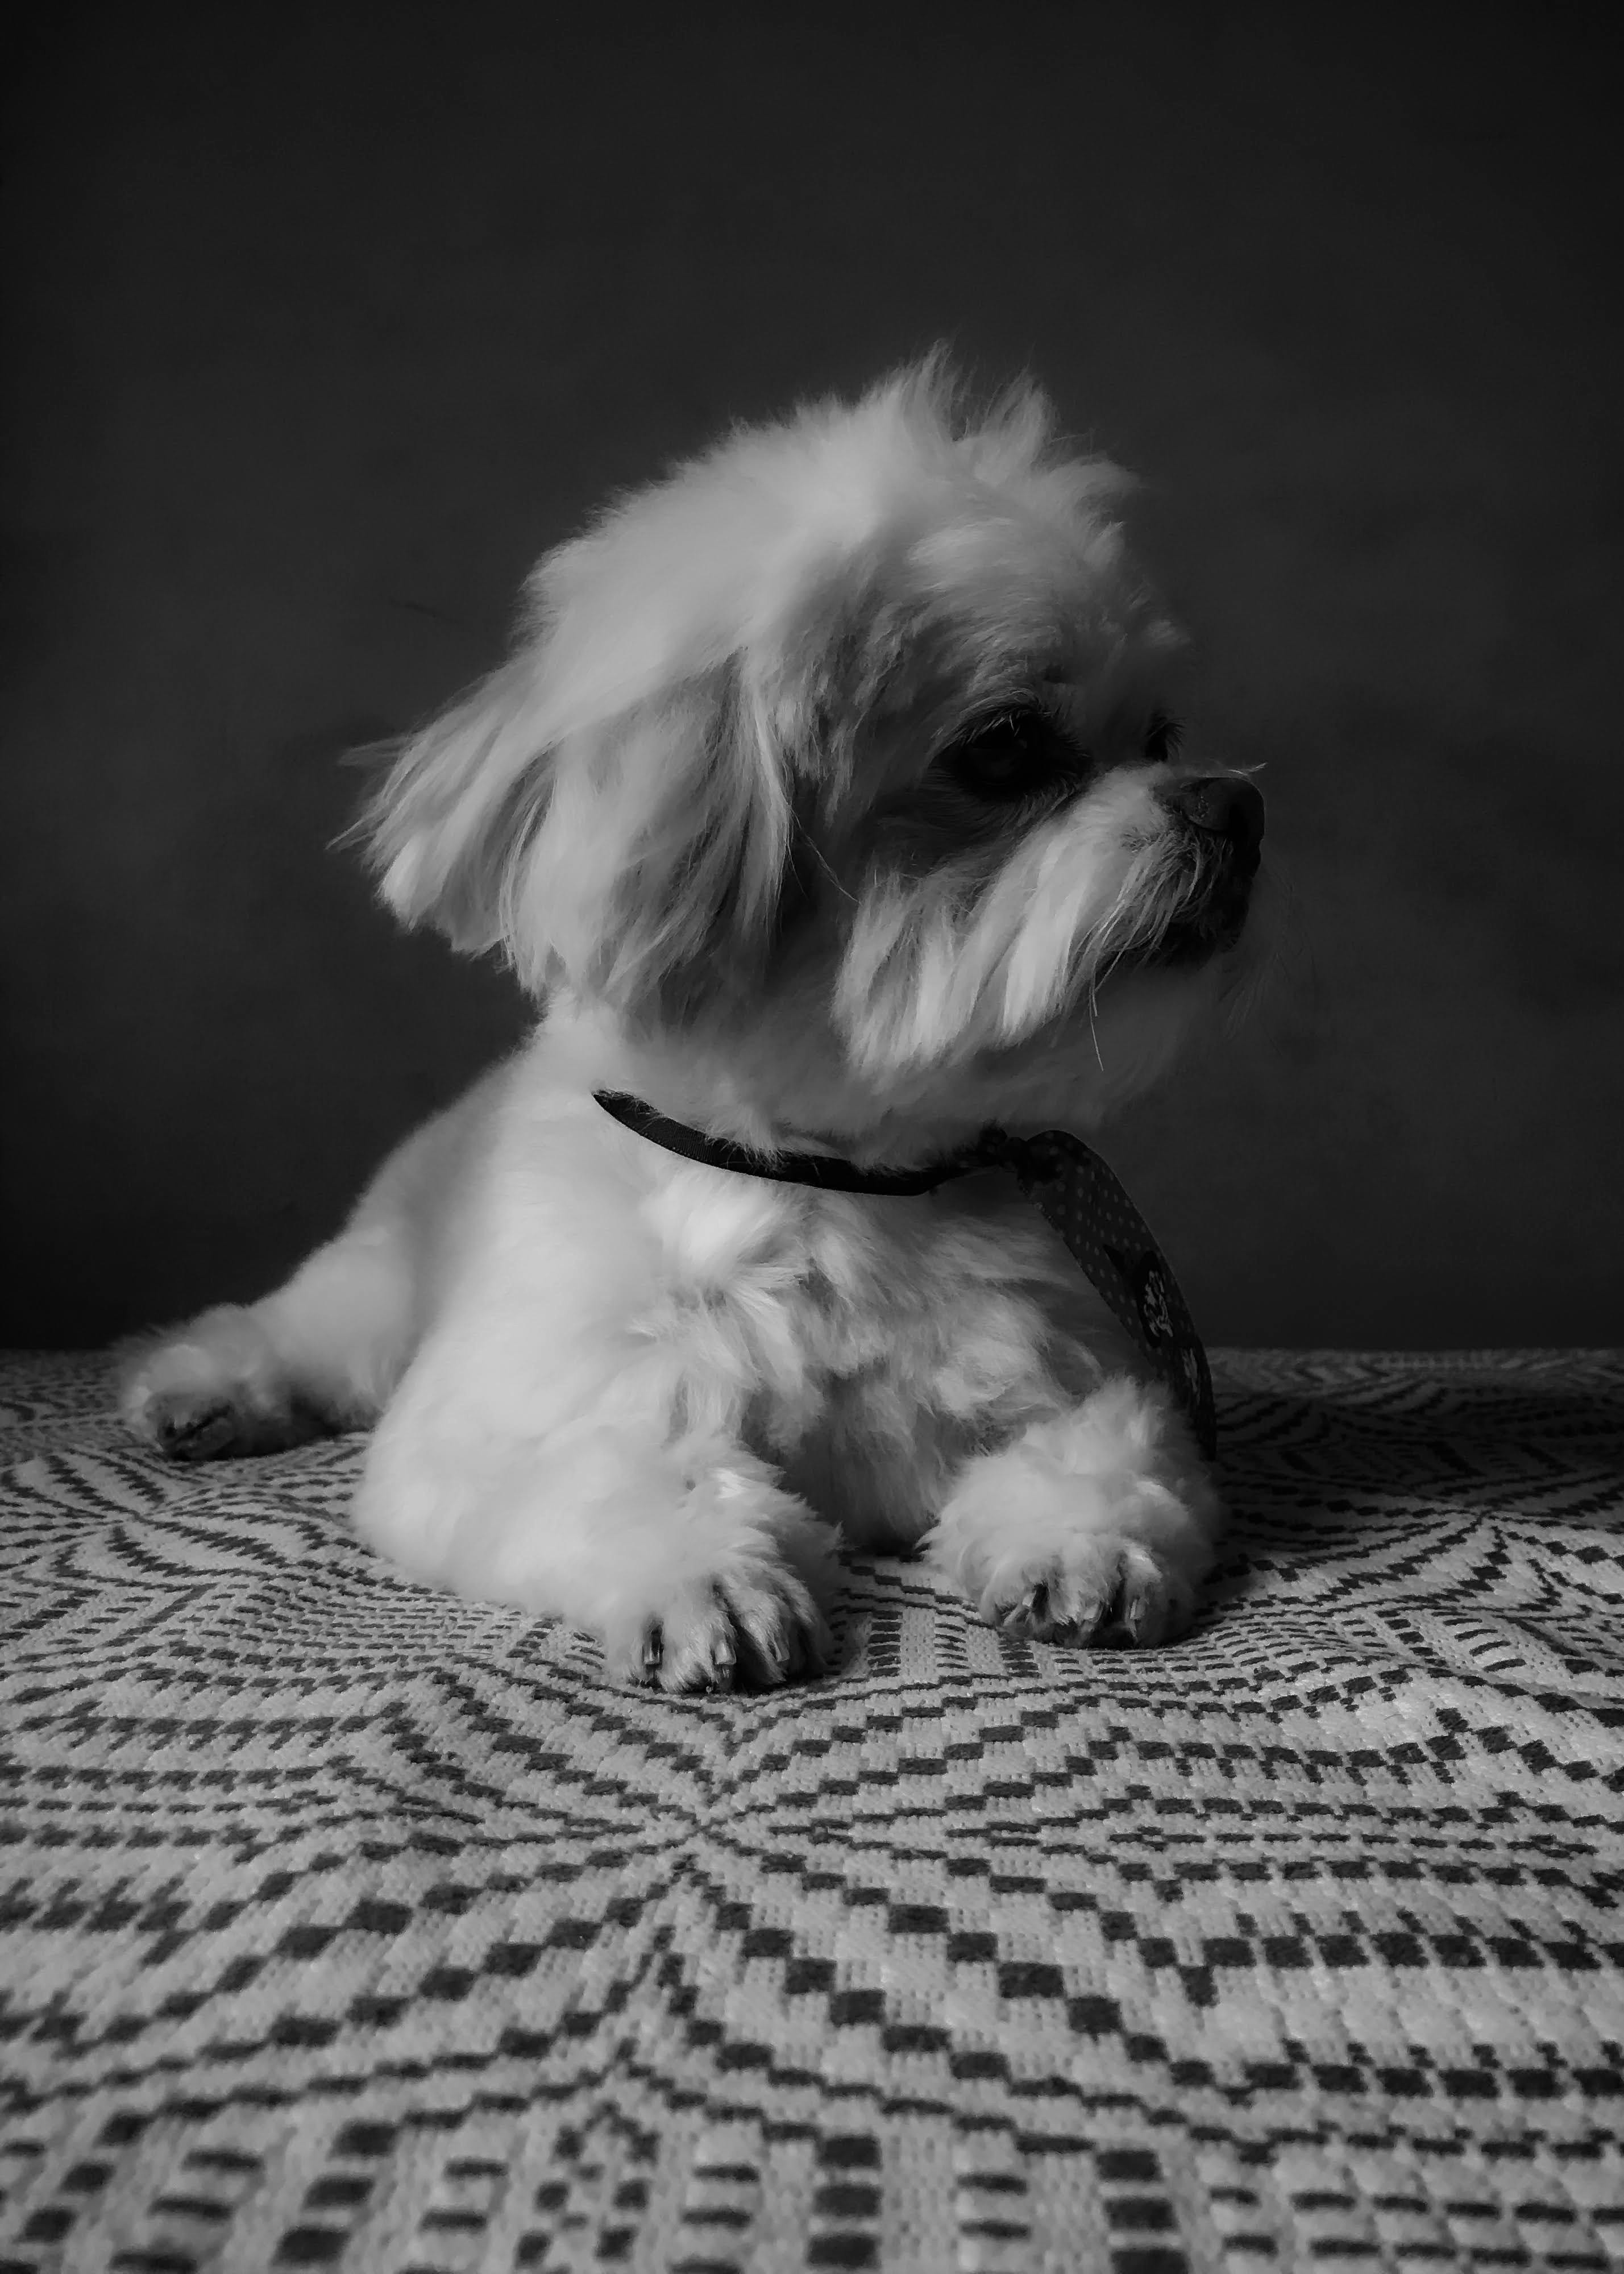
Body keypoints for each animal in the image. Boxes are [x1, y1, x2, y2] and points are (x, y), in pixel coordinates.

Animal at [126, 364, 1264, 1692]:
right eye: (1005, 747)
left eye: (1164, 738)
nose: (1232, 805)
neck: (830, 1185)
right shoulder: (509, 1419)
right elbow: (618, 1473)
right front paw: (707, 1574)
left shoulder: (1089, 1381)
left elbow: (1097, 1458)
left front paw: (1077, 1545)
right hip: (367, 1296)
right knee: (286, 1334)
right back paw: (204, 1390)